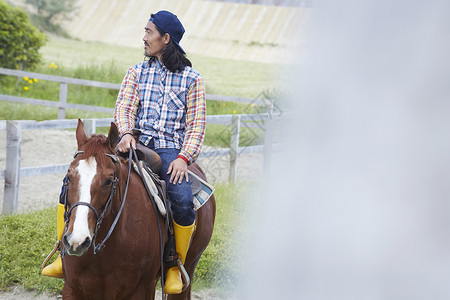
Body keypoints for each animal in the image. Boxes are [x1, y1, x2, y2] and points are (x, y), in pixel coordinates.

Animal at [60, 120, 215, 300]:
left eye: (108, 181)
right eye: (69, 177)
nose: (77, 240)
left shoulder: (142, 290)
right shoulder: (72, 288)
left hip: (189, 265)